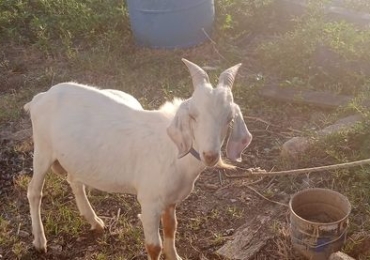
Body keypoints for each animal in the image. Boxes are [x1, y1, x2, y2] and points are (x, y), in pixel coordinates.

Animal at [25, 59, 251, 260]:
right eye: (193, 116)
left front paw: (175, 256)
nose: (210, 155)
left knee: (74, 180)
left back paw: (95, 222)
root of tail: (41, 97)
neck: (172, 151)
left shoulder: (170, 199)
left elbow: (171, 228)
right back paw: (40, 242)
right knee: (34, 191)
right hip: (43, 149)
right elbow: (153, 246)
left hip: (75, 156)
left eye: (229, 118)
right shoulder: (149, 201)